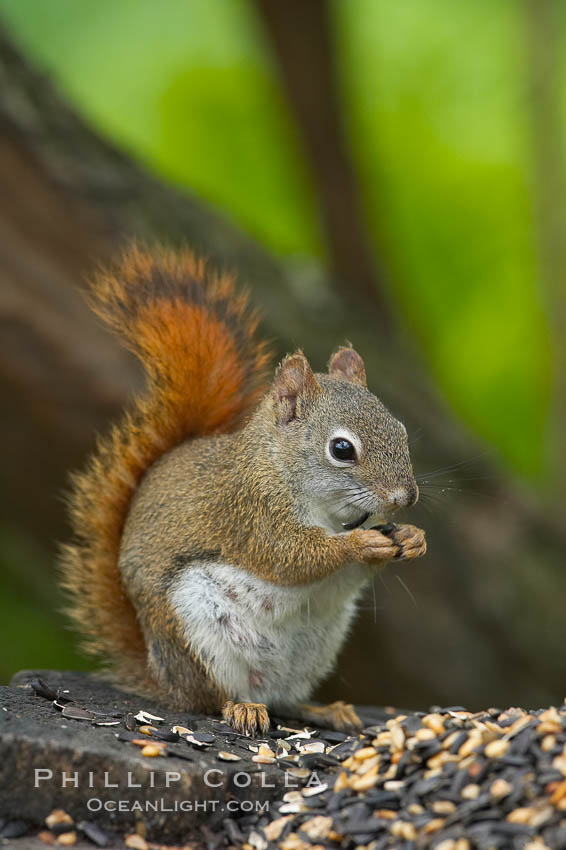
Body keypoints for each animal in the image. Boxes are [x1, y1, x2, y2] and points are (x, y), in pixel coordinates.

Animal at [61, 242, 426, 732]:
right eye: (342, 449)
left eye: (401, 431)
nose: (405, 498)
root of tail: (163, 680)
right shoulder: (251, 512)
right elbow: (291, 556)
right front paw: (359, 545)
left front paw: (412, 537)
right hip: (196, 630)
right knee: (210, 698)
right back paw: (241, 707)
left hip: (315, 647)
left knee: (286, 697)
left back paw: (324, 709)